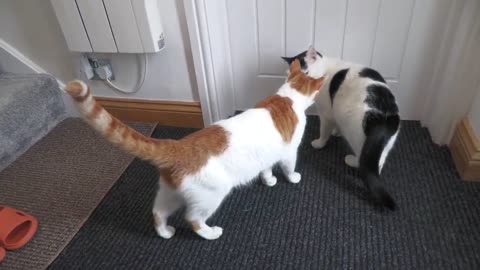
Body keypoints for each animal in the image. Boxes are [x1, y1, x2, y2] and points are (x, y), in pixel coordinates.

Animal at [64, 59, 322, 240]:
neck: (286, 98)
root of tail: (178, 146)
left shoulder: (267, 156)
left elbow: (266, 169)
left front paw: (268, 181)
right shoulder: (290, 151)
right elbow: (288, 167)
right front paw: (292, 178)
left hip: (171, 193)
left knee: (158, 212)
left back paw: (165, 232)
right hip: (211, 195)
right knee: (192, 219)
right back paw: (210, 233)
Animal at [284, 47, 400, 210]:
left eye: (305, 73)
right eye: (291, 74)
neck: (326, 69)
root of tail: (383, 113)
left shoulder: (326, 114)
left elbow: (324, 132)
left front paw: (320, 143)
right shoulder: (334, 112)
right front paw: (337, 133)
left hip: (355, 133)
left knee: (363, 159)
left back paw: (350, 160)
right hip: (385, 143)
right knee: (378, 161)